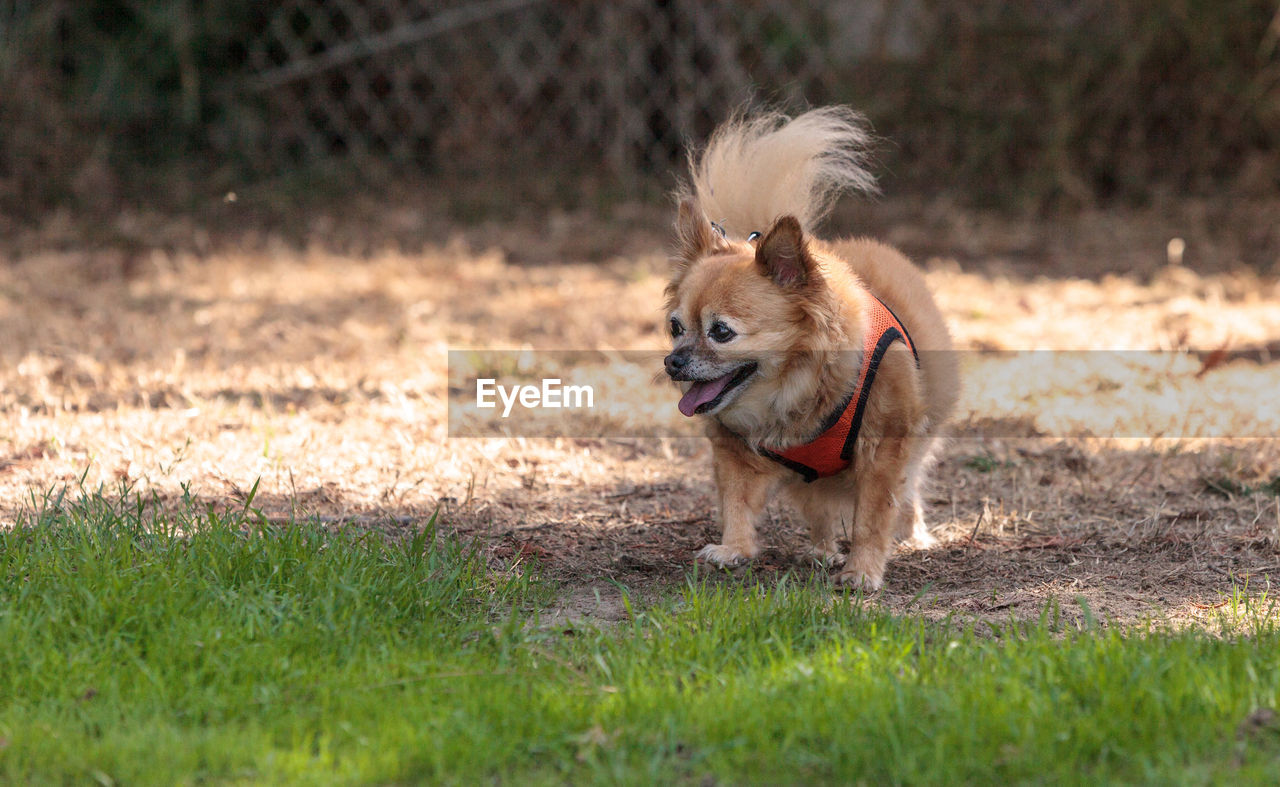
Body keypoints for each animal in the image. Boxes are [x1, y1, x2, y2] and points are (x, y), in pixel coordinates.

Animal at [665, 106, 957, 591]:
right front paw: (733, 549)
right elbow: (736, 502)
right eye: (675, 327)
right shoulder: (735, 451)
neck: (793, 391)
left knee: (910, 487)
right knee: (818, 507)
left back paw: (913, 536)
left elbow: (873, 516)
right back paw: (821, 551)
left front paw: (862, 571)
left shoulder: (884, 449)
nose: (672, 362)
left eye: (721, 332)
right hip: (813, 482)